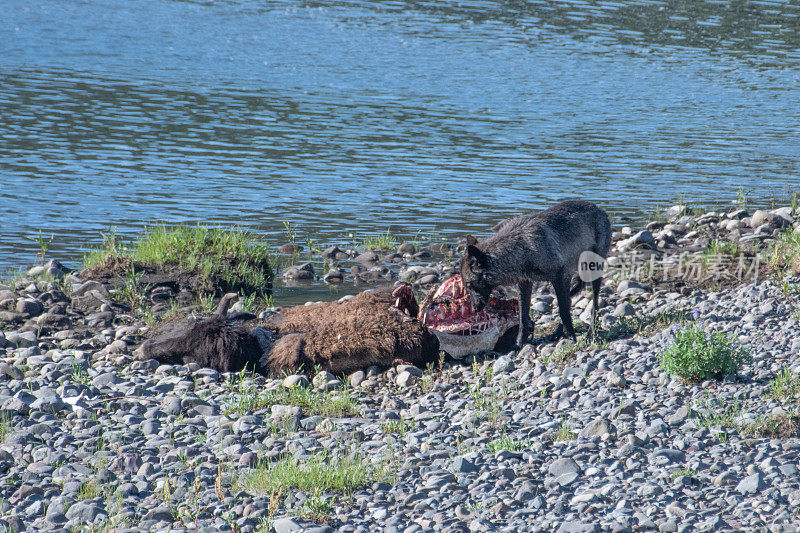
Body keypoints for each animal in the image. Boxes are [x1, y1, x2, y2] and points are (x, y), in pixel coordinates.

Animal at [460, 200, 608, 344]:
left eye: (469, 285)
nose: (474, 309)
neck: (522, 249)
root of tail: (600, 210)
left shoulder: (558, 278)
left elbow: (563, 310)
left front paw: (572, 337)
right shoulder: (525, 284)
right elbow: (523, 317)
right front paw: (519, 344)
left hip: (592, 271)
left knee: (594, 304)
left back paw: (590, 333)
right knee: (571, 301)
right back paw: (558, 332)